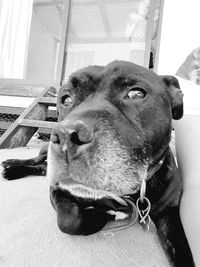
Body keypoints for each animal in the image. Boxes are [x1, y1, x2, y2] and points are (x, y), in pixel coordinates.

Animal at [1, 61, 194, 266]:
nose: (67, 135)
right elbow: (69, 222)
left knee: (42, 168)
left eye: (136, 94)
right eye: (66, 99)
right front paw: (101, 214)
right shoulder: (58, 190)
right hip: (46, 149)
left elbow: (183, 251)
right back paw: (12, 166)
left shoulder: (170, 213)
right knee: (38, 161)